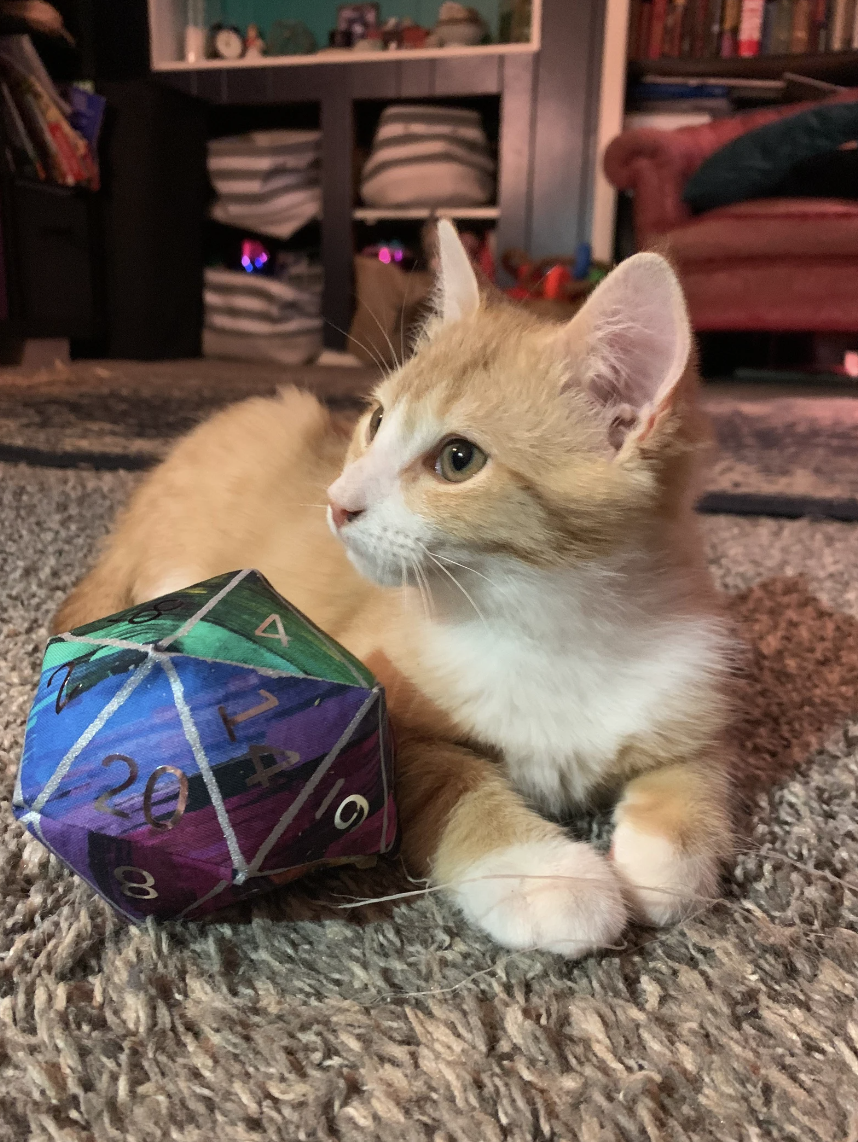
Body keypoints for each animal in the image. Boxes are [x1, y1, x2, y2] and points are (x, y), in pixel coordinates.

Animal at [57, 220, 735, 954]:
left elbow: (701, 767)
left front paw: (662, 859)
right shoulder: (379, 711)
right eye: (377, 421)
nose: (337, 503)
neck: (545, 621)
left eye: (459, 459)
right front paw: (547, 876)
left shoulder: (694, 680)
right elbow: (446, 780)